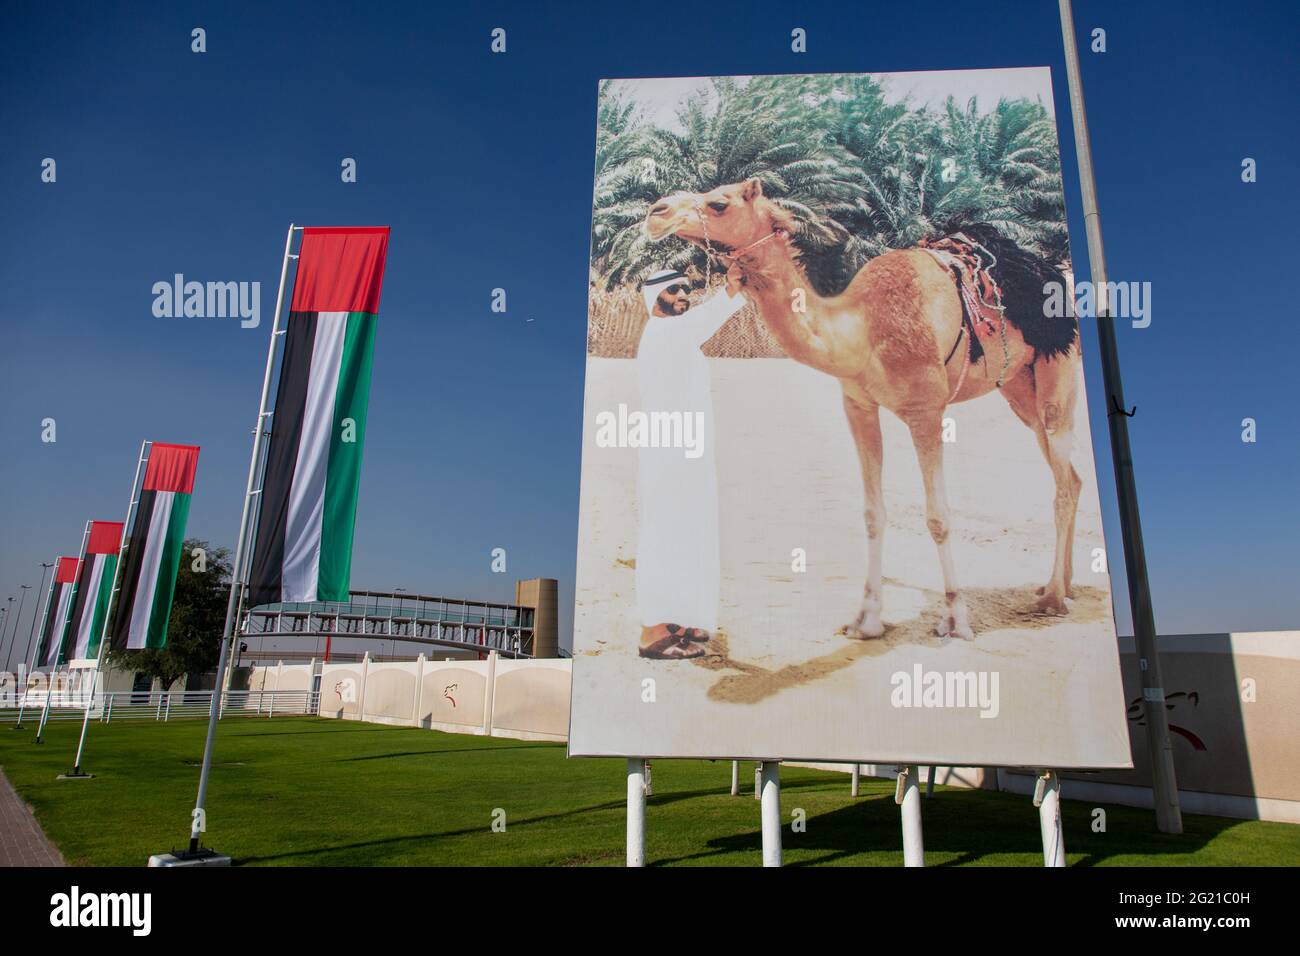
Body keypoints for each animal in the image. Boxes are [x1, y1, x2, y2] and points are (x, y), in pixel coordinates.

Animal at [644, 179, 1081, 642]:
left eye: (718, 203)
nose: (657, 212)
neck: (864, 330)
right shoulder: (858, 405)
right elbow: (873, 513)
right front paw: (867, 620)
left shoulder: (926, 409)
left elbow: (938, 517)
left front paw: (956, 619)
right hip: (1017, 387)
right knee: (1071, 476)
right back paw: (1062, 585)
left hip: (1058, 370)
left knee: (1063, 482)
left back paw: (1054, 597)